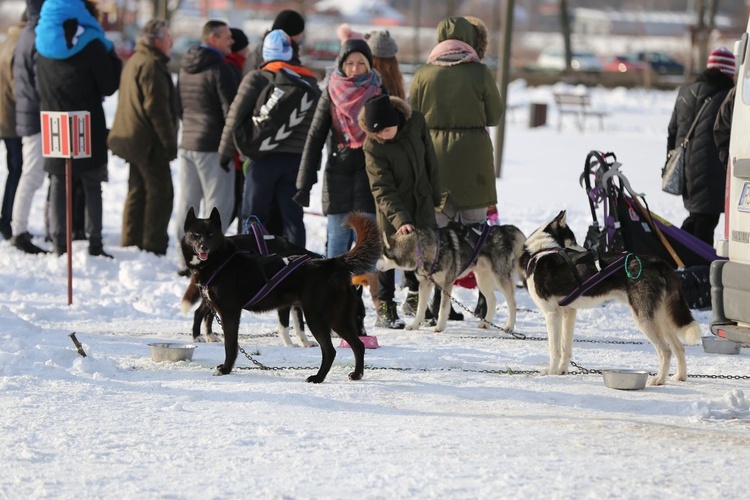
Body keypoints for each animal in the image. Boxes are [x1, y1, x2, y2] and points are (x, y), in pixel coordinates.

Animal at [181, 207, 382, 382]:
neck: (221, 261)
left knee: (330, 350)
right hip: (337, 319)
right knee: (358, 345)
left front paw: (225, 369)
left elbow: (230, 345)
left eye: (211, 235)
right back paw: (356, 374)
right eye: (196, 235)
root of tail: (330, 263)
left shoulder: (230, 314)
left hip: (317, 318)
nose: (203, 246)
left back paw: (318, 378)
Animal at [378, 223, 524, 332]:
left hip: (500, 278)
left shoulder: (447, 284)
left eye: (382, 254)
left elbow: (443, 308)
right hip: (482, 280)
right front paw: (414, 325)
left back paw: (508, 326)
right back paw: (486, 323)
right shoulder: (425, 284)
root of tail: (503, 228)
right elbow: (420, 308)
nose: (375, 266)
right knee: (492, 300)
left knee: (512, 303)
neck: (421, 249)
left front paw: (439, 327)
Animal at [524, 209, 704, 384]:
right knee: (679, 347)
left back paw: (659, 379)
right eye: (573, 240)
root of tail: (657, 261)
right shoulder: (568, 312)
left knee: (666, 351)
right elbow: (565, 348)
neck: (543, 250)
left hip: (644, 318)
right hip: (659, 317)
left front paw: (550, 372)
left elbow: (554, 349)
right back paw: (680, 377)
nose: (588, 251)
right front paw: (561, 371)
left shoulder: (552, 314)